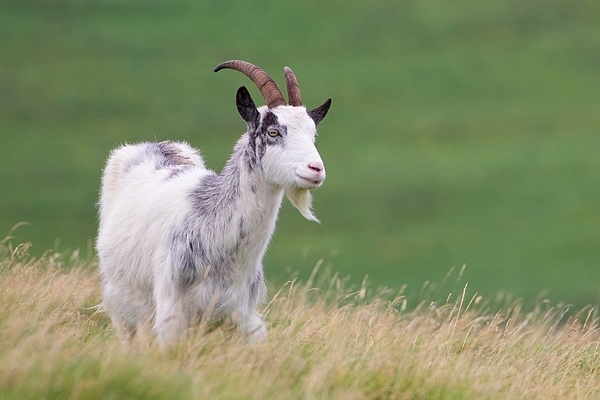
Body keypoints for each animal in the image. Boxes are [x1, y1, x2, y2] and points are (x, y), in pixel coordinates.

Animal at [98, 60, 332, 344]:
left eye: (313, 135)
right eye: (273, 132)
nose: (316, 169)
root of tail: (153, 144)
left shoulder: (243, 313)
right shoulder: (171, 310)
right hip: (120, 302)